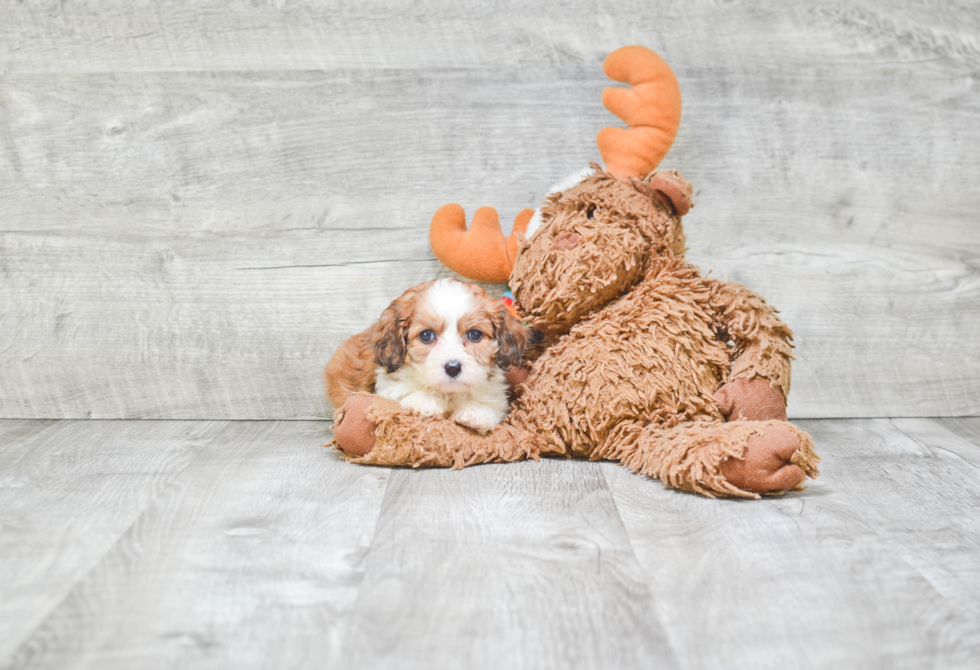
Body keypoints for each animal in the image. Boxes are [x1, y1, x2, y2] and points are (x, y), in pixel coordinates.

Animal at [326, 280, 532, 434]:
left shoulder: (496, 397)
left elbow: (491, 406)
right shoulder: (386, 386)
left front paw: (477, 412)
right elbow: (402, 392)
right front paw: (426, 401)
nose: (452, 367)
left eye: (475, 334)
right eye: (426, 335)